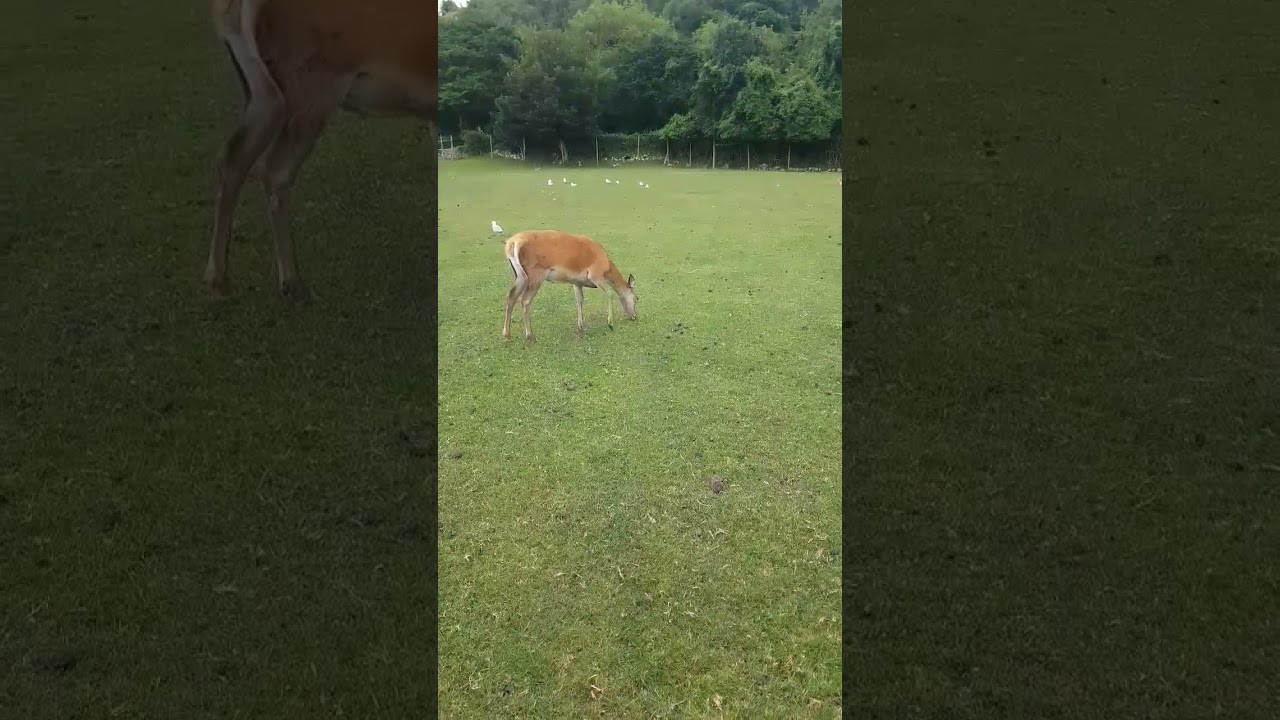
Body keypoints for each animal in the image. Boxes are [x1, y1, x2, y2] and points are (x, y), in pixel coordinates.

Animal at [206, 0, 437, 301]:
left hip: (262, 92)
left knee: (233, 157)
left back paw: (219, 279)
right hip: (310, 85)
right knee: (275, 170)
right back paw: (292, 284)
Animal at [502, 231, 638, 343]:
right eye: (637, 298)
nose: (634, 316)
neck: (607, 267)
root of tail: (512, 243)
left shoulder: (576, 282)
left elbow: (579, 300)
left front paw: (581, 327)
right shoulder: (595, 274)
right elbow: (610, 292)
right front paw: (610, 323)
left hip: (520, 275)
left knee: (511, 297)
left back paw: (506, 334)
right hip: (536, 273)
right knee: (525, 300)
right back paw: (529, 336)